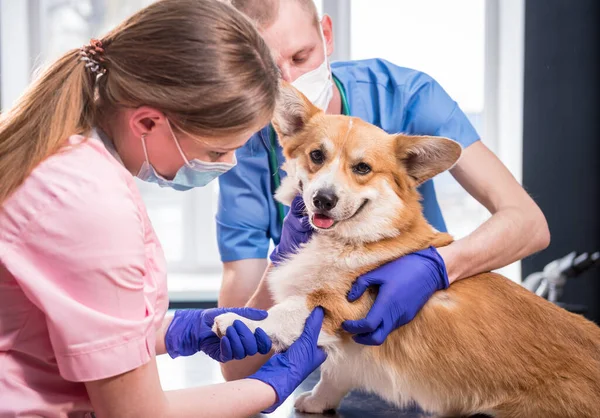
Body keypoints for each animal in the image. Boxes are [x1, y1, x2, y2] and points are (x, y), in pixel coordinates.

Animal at [214, 85, 600, 418]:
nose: (323, 199)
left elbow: (286, 312)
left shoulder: (343, 304)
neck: (352, 239)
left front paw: (238, 322)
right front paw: (317, 401)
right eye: (316, 156)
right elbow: (333, 375)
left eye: (362, 168)